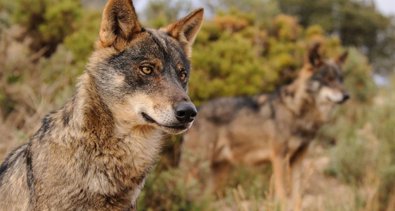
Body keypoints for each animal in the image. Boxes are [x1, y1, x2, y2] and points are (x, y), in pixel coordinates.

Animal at [180, 44, 350, 209]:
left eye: (341, 79)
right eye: (328, 79)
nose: (347, 95)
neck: (296, 111)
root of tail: (196, 110)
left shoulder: (298, 159)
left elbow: (297, 197)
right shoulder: (279, 157)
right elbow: (282, 195)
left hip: (218, 174)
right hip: (197, 169)